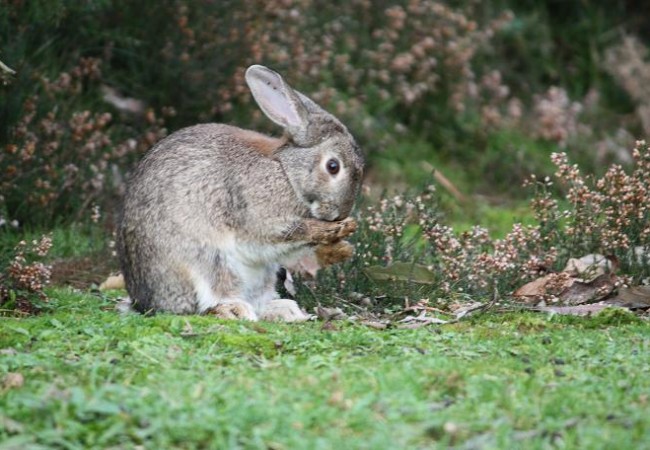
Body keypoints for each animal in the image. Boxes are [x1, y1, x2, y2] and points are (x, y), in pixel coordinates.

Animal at [116, 65, 364, 322]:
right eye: (333, 166)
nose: (339, 213)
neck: (286, 172)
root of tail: (144, 302)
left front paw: (342, 247)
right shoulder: (260, 221)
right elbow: (284, 234)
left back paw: (286, 310)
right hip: (208, 261)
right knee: (206, 302)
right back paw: (236, 310)